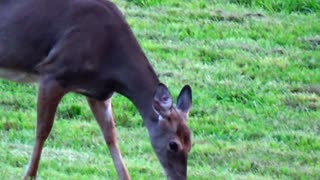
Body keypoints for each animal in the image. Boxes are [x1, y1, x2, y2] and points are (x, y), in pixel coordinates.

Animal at [0, 0, 192, 180]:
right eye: (173, 145)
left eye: (191, 143)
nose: (179, 178)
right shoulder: (52, 72)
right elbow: (42, 130)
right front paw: (29, 175)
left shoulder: (99, 94)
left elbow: (111, 136)